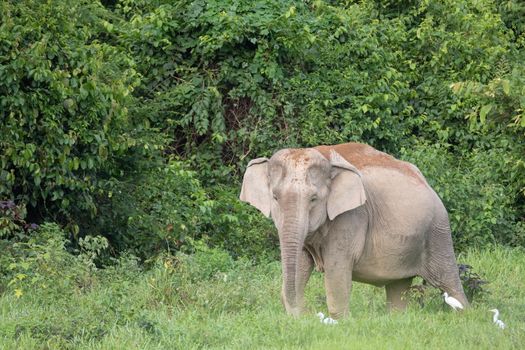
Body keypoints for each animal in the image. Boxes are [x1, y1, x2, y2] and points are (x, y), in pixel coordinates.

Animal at [238, 142, 466, 318]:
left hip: (438, 230)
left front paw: (340, 322)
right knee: (398, 286)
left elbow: (336, 270)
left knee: (449, 280)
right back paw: (396, 318)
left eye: (314, 199)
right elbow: (301, 264)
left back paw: (465, 314)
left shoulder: (351, 217)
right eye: (275, 197)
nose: (307, 314)